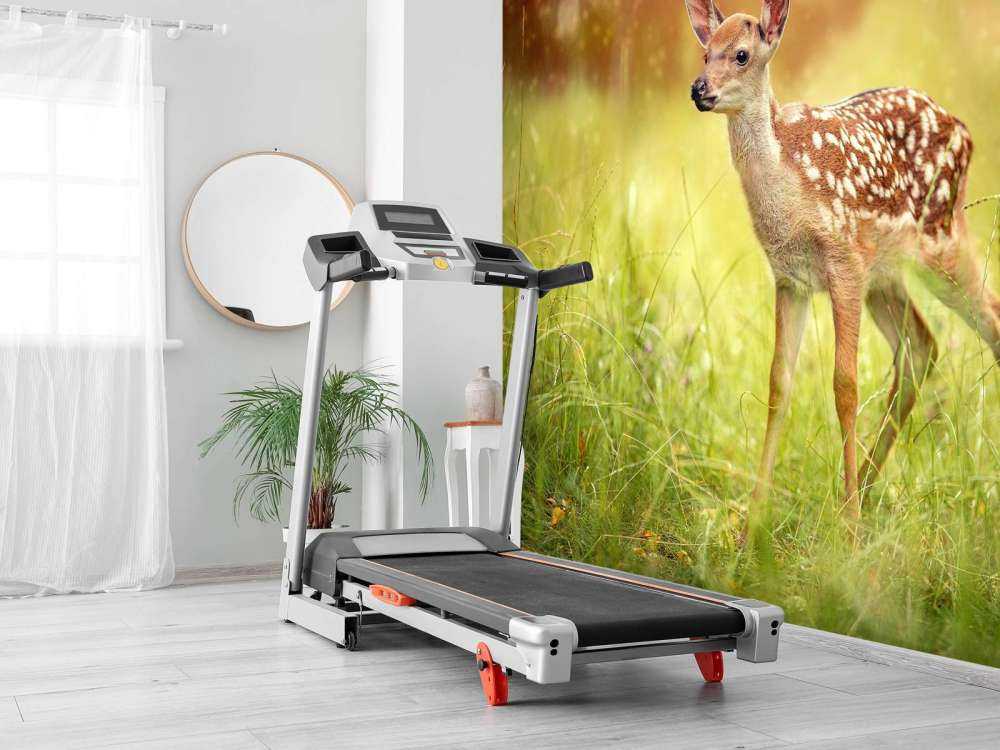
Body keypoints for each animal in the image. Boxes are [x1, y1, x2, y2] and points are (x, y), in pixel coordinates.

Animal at [683, 0, 1000, 523]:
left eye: (742, 54)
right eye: (706, 52)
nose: (699, 88)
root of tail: (966, 131)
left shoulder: (843, 261)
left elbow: (844, 385)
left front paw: (848, 530)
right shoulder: (790, 277)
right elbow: (778, 383)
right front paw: (754, 521)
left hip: (941, 239)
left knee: (989, 318)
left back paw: (862, 499)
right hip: (886, 275)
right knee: (921, 347)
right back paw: (864, 489)